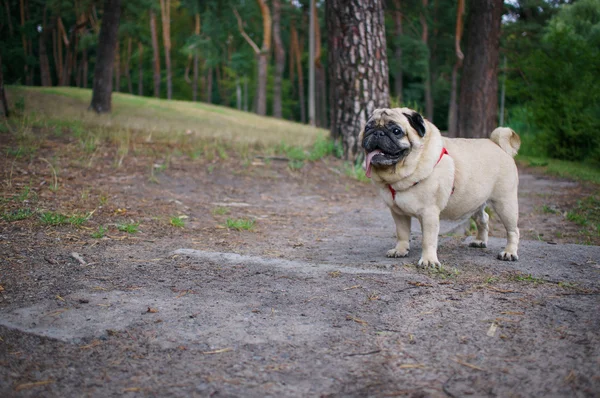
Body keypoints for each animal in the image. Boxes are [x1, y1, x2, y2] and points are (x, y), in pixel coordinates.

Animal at [358, 108, 524, 268]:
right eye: (367, 128)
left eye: (396, 131)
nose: (377, 133)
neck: (399, 176)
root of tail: (498, 145)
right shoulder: (398, 213)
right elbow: (402, 233)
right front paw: (400, 250)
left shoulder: (429, 213)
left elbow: (428, 239)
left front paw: (428, 260)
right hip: (474, 202)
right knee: (483, 219)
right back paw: (480, 241)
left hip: (505, 204)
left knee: (513, 230)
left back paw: (509, 252)